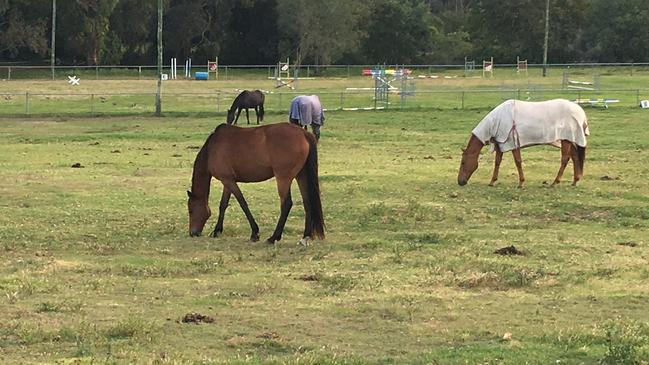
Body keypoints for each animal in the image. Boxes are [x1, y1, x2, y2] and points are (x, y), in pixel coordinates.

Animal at [187, 122, 324, 245]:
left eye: (191, 210)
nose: (192, 233)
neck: (212, 148)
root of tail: (303, 133)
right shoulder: (228, 180)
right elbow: (223, 204)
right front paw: (217, 230)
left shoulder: (227, 180)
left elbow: (242, 203)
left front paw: (254, 233)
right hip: (301, 175)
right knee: (307, 202)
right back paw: (305, 237)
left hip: (283, 178)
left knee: (286, 204)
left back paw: (273, 238)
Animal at [456, 98, 588, 186]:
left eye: (463, 162)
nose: (460, 181)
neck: (497, 120)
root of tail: (580, 112)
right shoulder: (501, 143)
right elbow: (497, 162)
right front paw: (492, 181)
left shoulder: (513, 143)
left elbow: (518, 162)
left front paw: (521, 183)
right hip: (569, 140)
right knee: (575, 157)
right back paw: (575, 181)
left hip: (566, 140)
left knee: (565, 159)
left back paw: (555, 182)